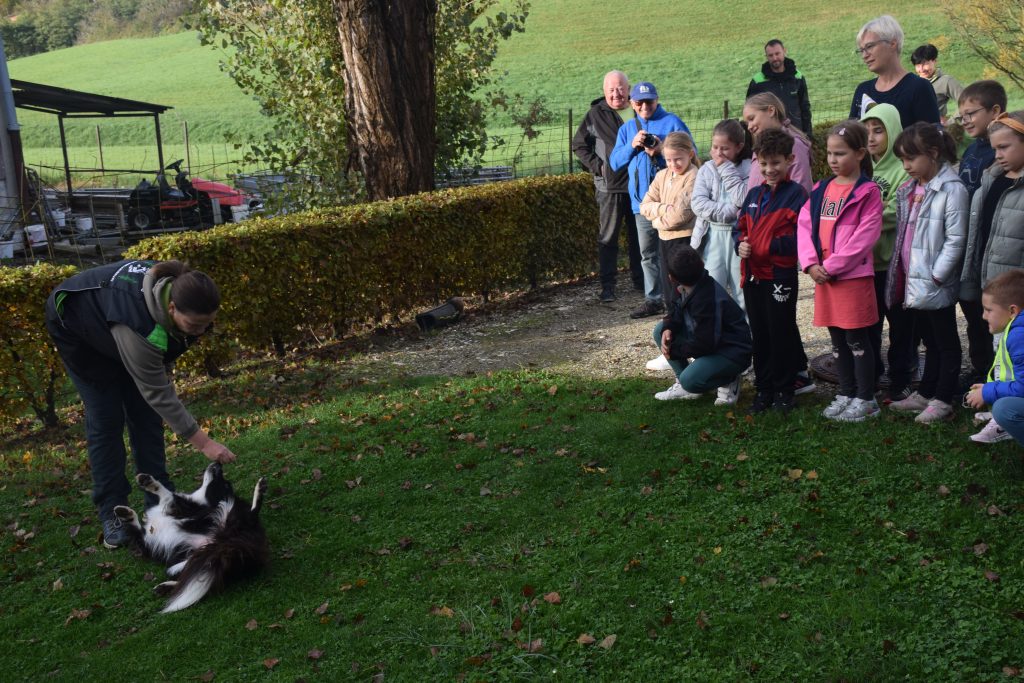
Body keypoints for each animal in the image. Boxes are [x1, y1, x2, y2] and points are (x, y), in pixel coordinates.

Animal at [114, 458, 270, 614]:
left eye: (225, 484)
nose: (219, 463)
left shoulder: (184, 507)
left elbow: (168, 494)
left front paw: (148, 482)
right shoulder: (146, 543)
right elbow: (137, 531)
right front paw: (125, 513)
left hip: (233, 516)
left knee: (252, 515)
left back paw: (259, 489)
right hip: (183, 562)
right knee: (192, 574)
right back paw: (165, 587)